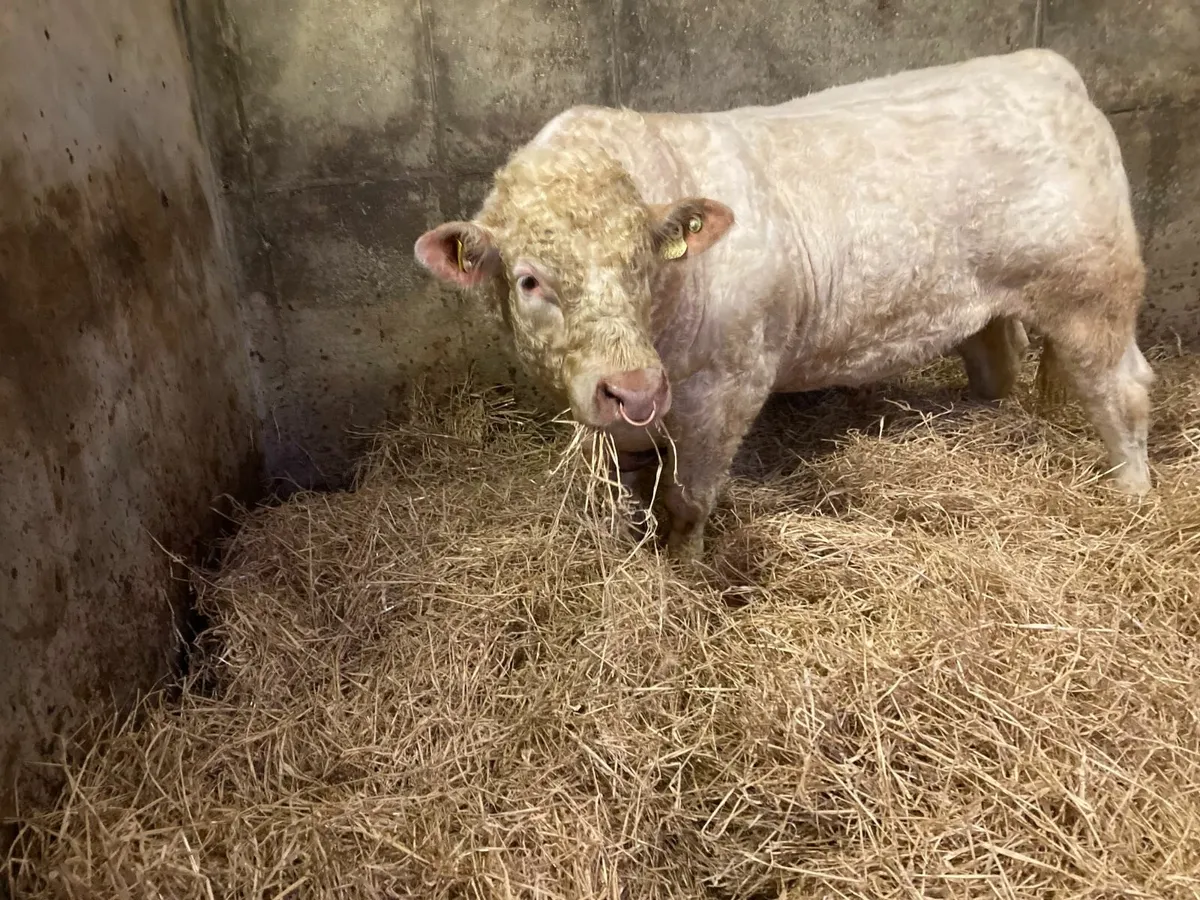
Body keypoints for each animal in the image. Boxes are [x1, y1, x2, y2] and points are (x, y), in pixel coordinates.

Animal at [414, 48, 1154, 562]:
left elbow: (689, 497)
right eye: (529, 281)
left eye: (644, 260)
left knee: (1124, 392)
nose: (634, 388)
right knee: (1002, 364)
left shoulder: (730, 384)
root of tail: (1048, 68)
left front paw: (684, 571)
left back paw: (1133, 498)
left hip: (1093, 294)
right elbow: (631, 490)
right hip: (989, 304)